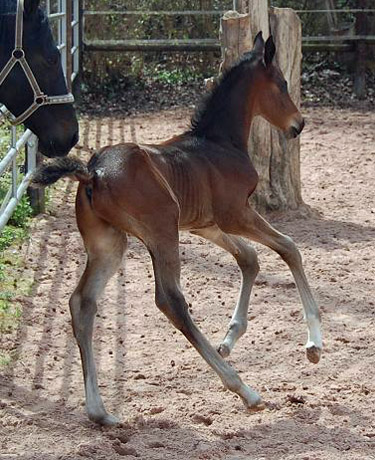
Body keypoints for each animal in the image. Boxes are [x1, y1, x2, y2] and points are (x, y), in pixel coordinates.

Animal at [32, 33, 324, 428]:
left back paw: (100, 412)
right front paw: (314, 344)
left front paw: (230, 338)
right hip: (162, 231)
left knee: (82, 302)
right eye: (282, 84)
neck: (219, 142)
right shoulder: (235, 214)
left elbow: (249, 258)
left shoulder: (206, 224)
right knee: (170, 299)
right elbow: (289, 247)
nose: (299, 123)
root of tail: (92, 172)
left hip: (110, 242)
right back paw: (244, 390)